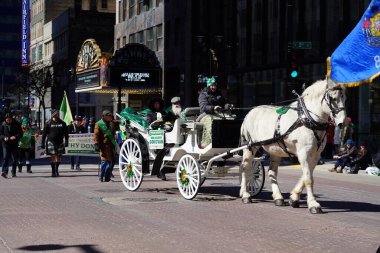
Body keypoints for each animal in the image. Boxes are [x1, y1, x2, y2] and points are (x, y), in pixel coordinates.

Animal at [242, 79, 346, 213]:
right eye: (333, 98)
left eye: (345, 98)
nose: (342, 123)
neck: (308, 118)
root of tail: (250, 112)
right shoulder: (303, 153)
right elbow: (308, 179)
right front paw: (313, 204)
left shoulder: (316, 154)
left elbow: (306, 176)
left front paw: (294, 197)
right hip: (250, 146)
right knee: (245, 168)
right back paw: (245, 195)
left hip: (275, 150)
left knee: (271, 172)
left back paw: (278, 197)